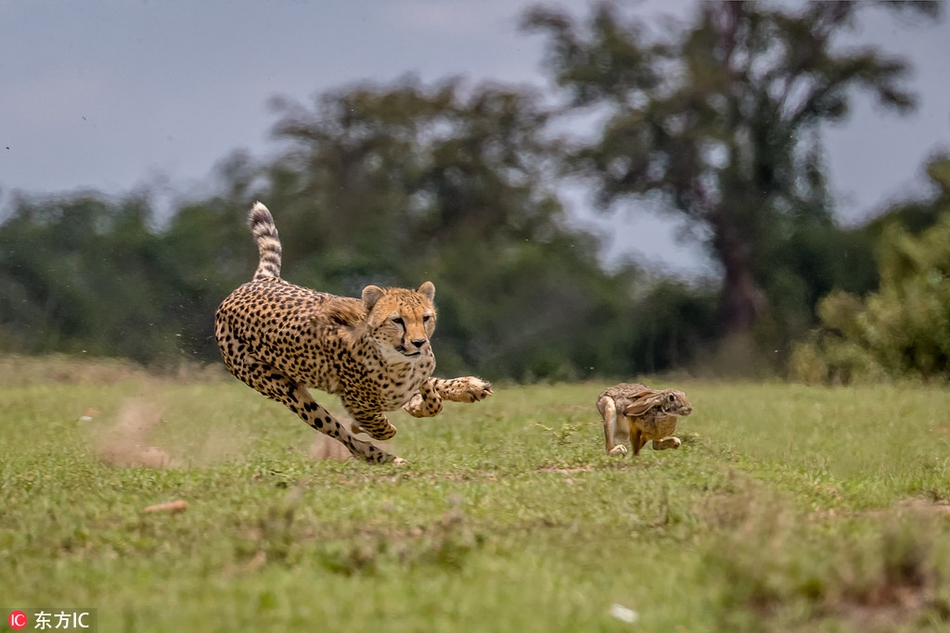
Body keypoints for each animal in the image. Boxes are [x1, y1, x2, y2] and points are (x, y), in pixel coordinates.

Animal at [215, 202, 494, 464]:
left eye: (425, 318)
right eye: (397, 320)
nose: (419, 342)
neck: (394, 360)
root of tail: (255, 283)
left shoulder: (416, 374)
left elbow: (431, 396)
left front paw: (442, 395)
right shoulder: (359, 402)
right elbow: (379, 425)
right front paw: (369, 425)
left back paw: (470, 387)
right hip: (286, 390)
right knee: (339, 433)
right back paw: (381, 457)